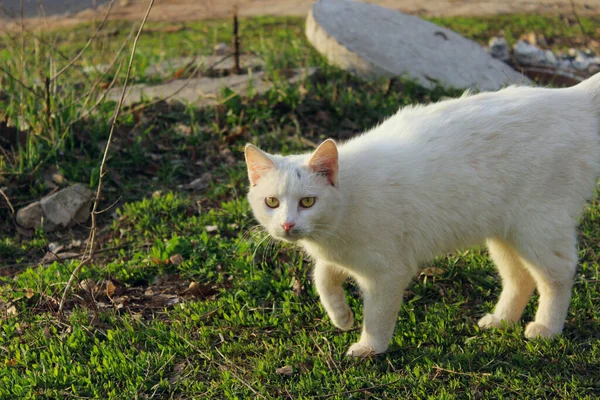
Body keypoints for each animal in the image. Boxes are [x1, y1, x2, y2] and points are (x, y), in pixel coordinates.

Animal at [244, 72, 600, 356]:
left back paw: (547, 329)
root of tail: (570, 96)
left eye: (307, 202)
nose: (287, 225)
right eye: (272, 202)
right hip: (504, 234)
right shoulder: (338, 256)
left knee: (558, 274)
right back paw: (500, 321)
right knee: (520, 277)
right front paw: (341, 316)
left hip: (537, 229)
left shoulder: (387, 273)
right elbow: (322, 277)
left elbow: (377, 316)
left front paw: (370, 348)